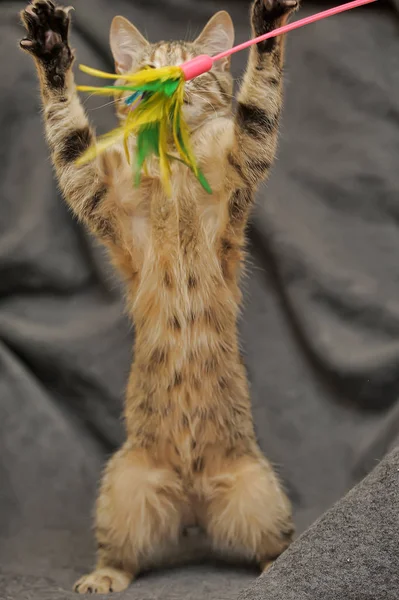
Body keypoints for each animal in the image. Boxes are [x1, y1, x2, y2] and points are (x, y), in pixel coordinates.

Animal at [20, 0, 298, 592]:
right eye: (149, 69)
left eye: (196, 67)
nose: (174, 80)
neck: (171, 152)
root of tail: (192, 499)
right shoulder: (98, 194)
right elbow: (67, 132)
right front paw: (52, 46)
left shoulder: (244, 166)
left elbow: (259, 101)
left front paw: (268, 30)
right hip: (123, 489)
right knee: (122, 553)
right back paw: (102, 577)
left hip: (259, 492)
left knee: (276, 542)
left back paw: (274, 566)